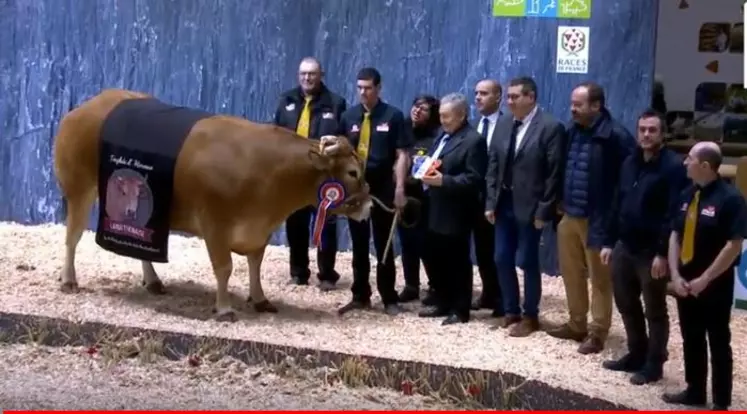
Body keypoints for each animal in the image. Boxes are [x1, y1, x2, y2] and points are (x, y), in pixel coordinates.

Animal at [51, 89, 372, 322]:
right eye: (352, 172)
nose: (369, 205)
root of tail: (85, 108)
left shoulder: (258, 230)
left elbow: (255, 264)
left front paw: (260, 299)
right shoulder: (215, 223)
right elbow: (224, 267)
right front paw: (225, 308)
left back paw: (153, 281)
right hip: (80, 189)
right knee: (72, 236)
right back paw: (68, 280)